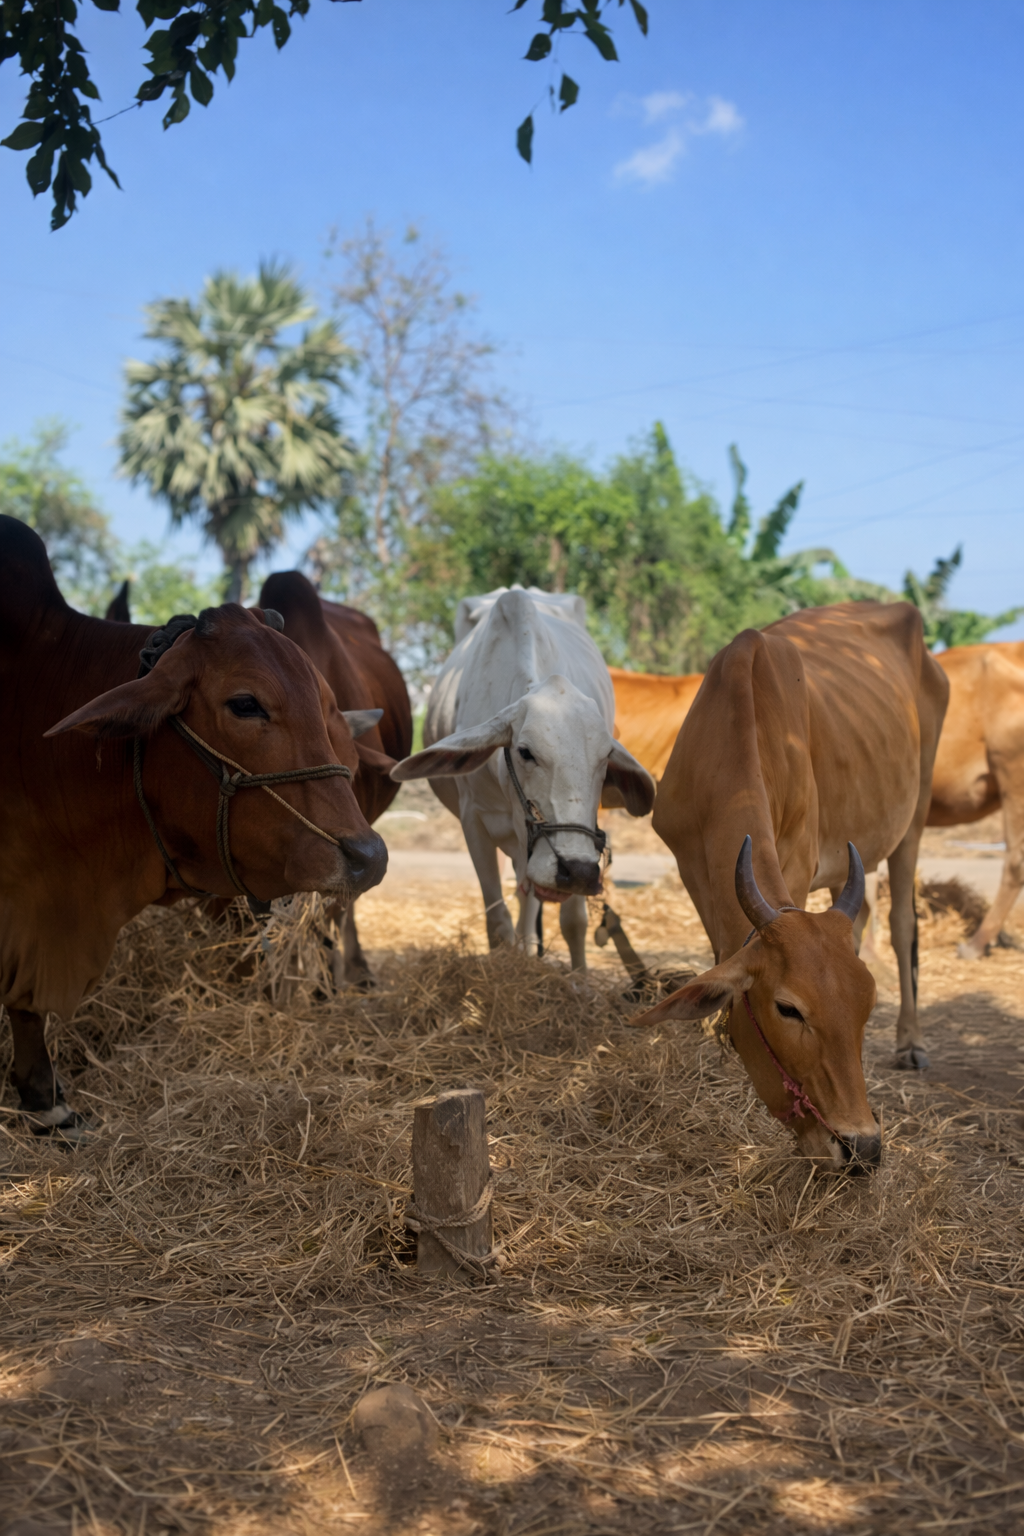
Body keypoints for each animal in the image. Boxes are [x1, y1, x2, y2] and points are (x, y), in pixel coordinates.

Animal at [389, 586, 655, 969]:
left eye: (605, 756)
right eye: (525, 752)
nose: (576, 871)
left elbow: (573, 921)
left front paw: (579, 979)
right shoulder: (473, 822)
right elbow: (497, 923)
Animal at [635, 602, 948, 1169]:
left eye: (867, 1005)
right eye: (788, 1009)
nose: (862, 1146)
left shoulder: (799, 860)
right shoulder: (688, 862)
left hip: (915, 814)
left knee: (902, 923)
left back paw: (910, 1042)